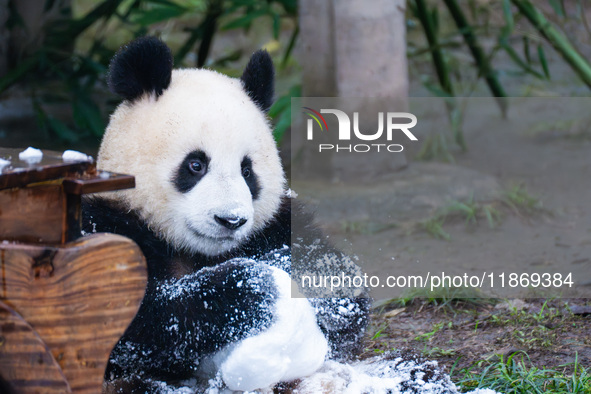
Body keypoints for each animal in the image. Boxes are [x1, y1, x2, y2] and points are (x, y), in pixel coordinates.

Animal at [82, 36, 370, 390]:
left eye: (247, 171)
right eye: (195, 164)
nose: (230, 220)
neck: (196, 251)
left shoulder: (276, 222)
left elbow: (335, 275)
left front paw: (315, 293)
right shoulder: (110, 222)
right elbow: (125, 319)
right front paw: (251, 288)